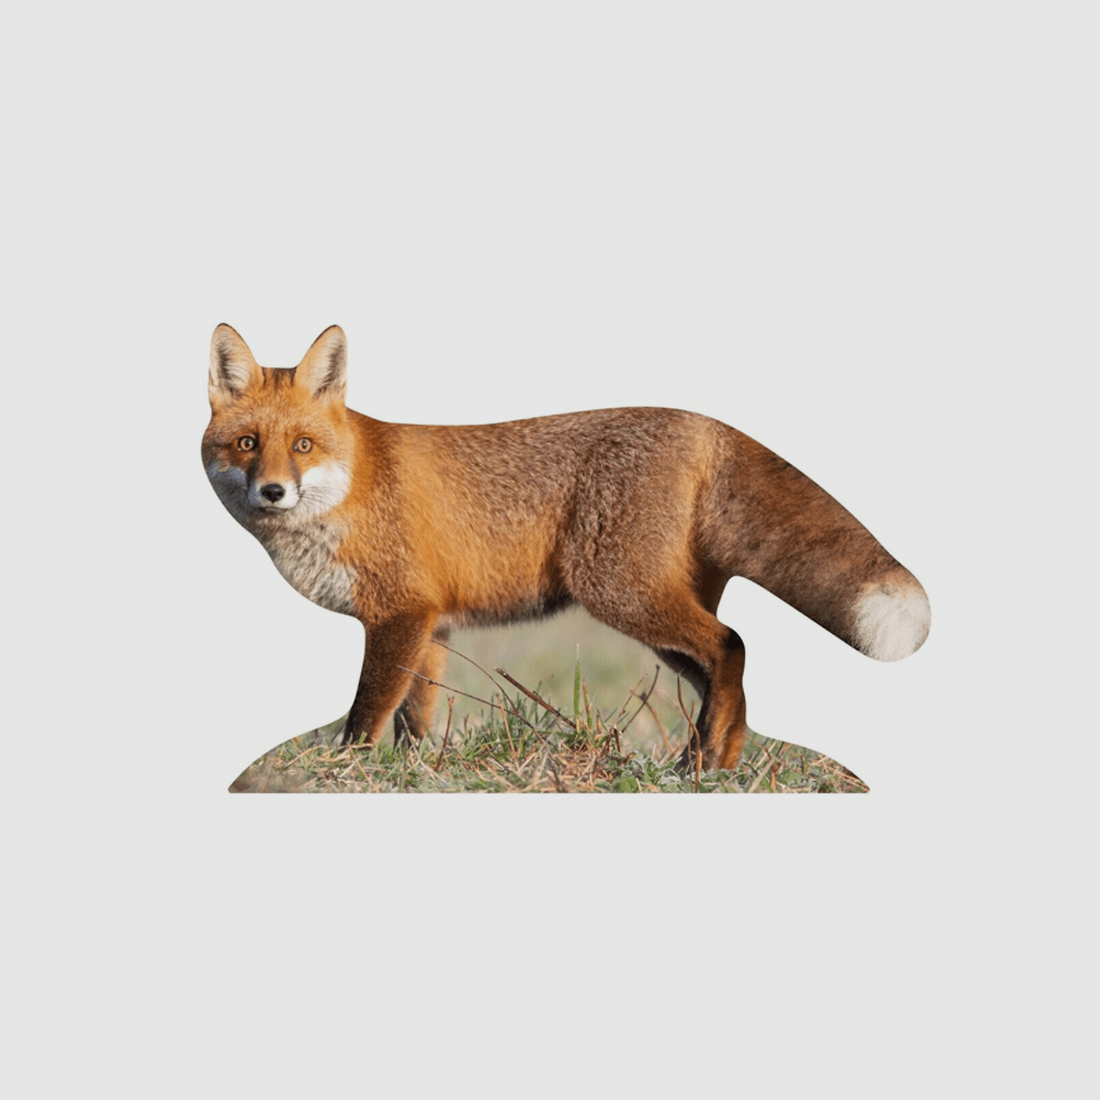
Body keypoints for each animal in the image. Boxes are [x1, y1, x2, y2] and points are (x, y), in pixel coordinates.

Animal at [202, 323, 930, 772]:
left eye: (302, 445)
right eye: (247, 444)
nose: (272, 492)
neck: (352, 482)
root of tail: (703, 422)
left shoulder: (400, 614)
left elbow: (366, 711)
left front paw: (343, 769)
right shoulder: (431, 623)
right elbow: (415, 717)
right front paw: (412, 775)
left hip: (619, 591)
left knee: (733, 645)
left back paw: (702, 767)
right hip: (653, 617)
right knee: (731, 669)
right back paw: (715, 765)